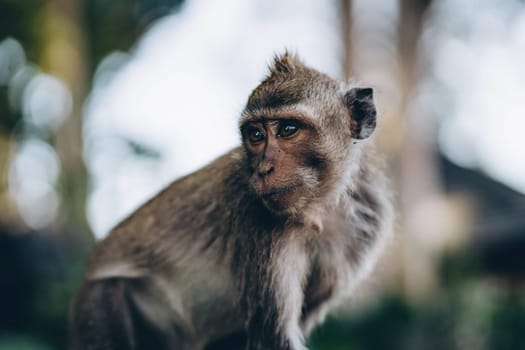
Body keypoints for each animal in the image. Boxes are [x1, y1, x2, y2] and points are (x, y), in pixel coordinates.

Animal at [69, 52, 390, 350]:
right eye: (256, 134)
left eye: (288, 129)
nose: (263, 169)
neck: (320, 207)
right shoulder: (258, 220)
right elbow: (273, 338)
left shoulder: (368, 222)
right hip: (100, 301)